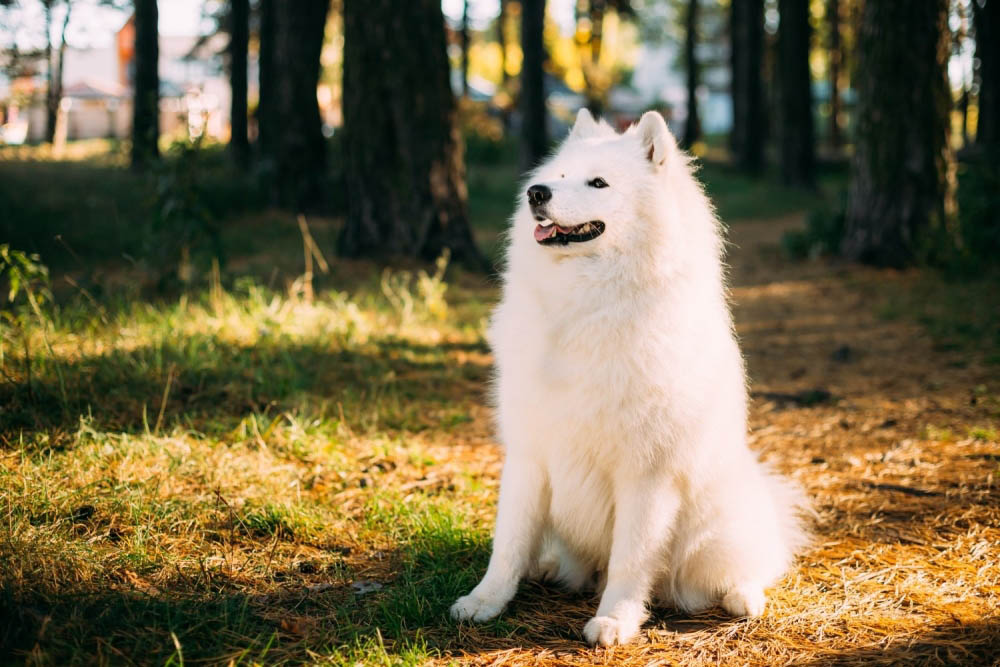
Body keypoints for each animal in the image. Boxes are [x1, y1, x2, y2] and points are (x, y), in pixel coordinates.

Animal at [450, 109, 808, 648]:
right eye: (558, 176)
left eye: (598, 183)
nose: (536, 192)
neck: (586, 304)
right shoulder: (529, 454)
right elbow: (508, 543)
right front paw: (485, 601)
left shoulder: (647, 473)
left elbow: (632, 557)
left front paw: (616, 619)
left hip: (719, 523)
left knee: (748, 565)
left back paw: (744, 596)